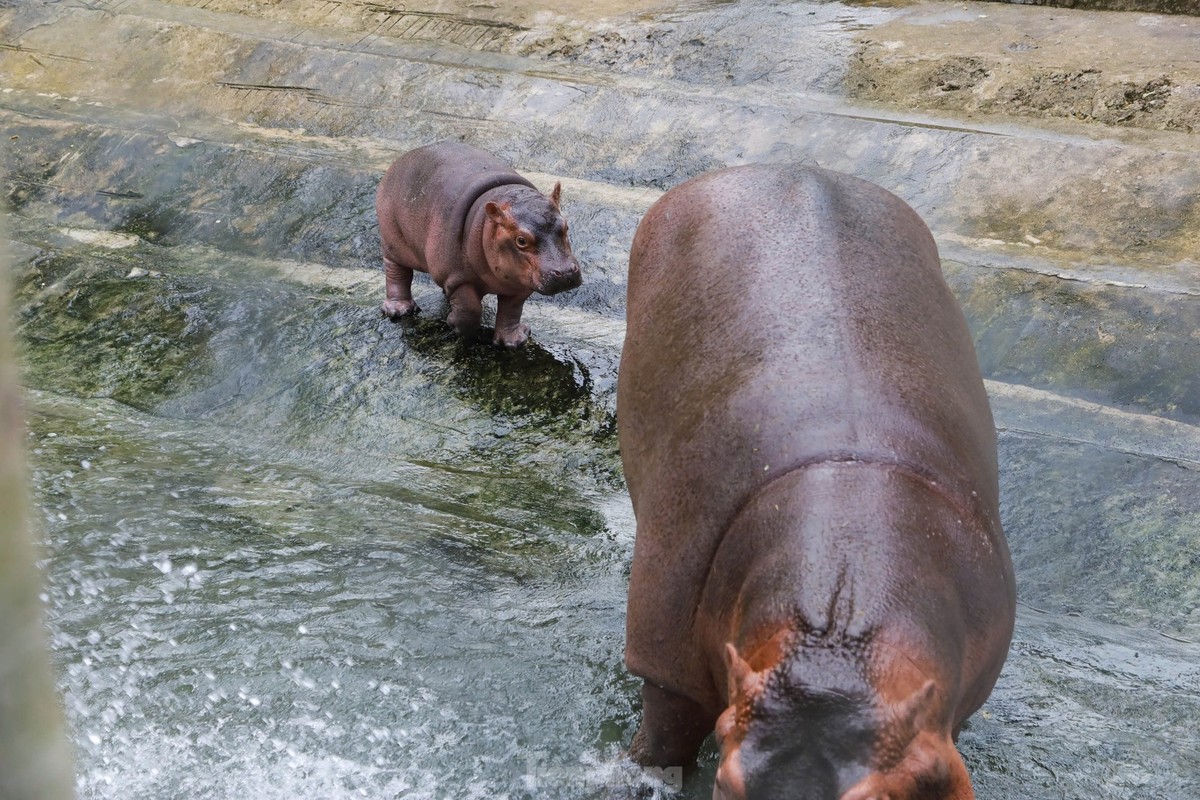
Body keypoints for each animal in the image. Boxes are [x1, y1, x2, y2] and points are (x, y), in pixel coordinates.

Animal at [374, 140, 580, 347]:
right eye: (521, 240)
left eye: (566, 226)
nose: (565, 273)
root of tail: (403, 158)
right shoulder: (459, 277)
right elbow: (470, 310)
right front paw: (454, 325)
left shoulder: (519, 282)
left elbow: (512, 310)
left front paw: (514, 341)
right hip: (393, 241)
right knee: (397, 272)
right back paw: (399, 310)